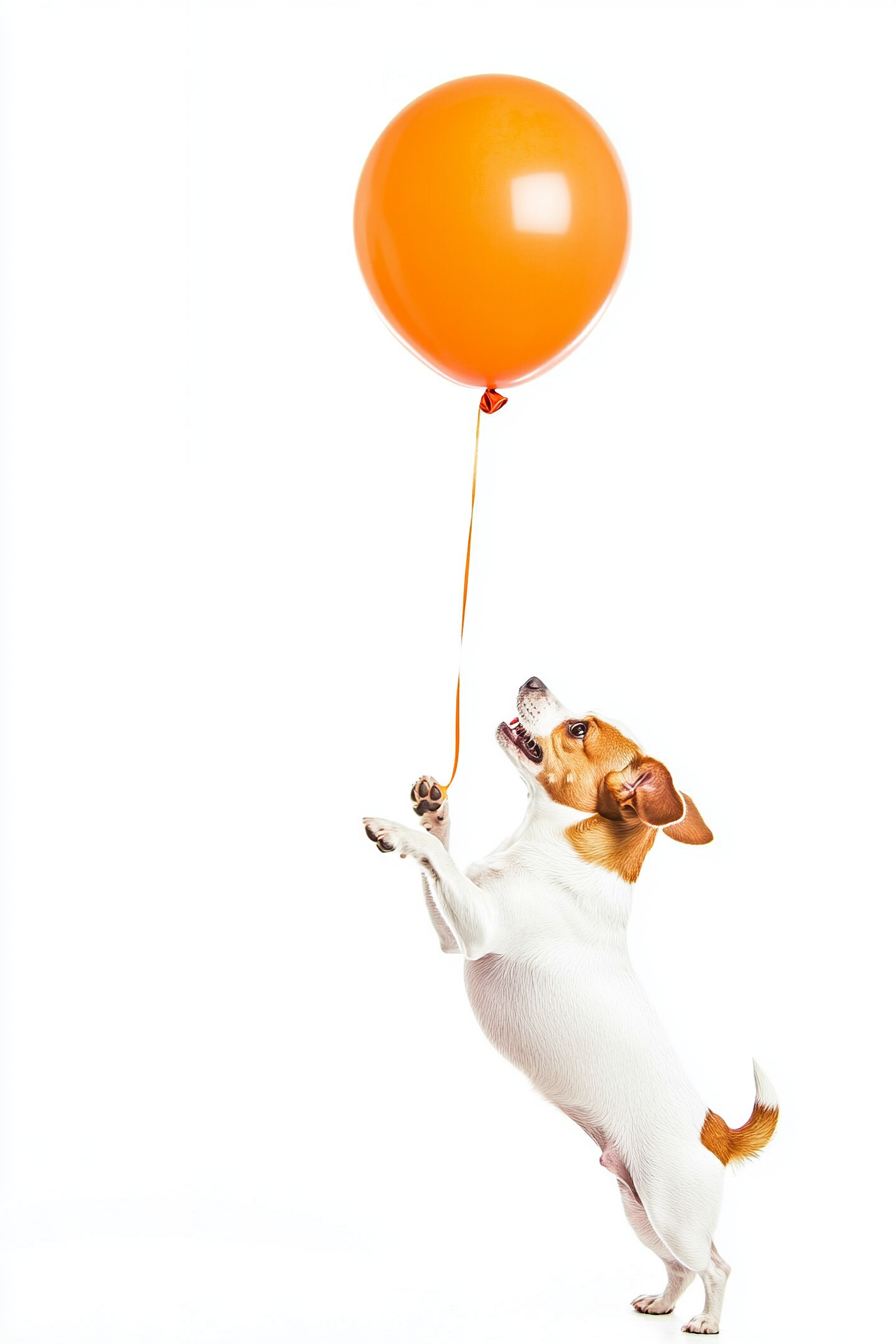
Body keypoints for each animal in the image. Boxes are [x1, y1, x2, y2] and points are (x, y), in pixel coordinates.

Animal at [365, 677, 779, 1327]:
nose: (533, 679)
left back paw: (707, 1321)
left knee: (716, 1266)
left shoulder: (477, 926)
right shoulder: (453, 936)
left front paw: (397, 831)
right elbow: (442, 855)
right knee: (681, 1268)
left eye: (579, 730)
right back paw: (662, 1303)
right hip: (640, 1209)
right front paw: (433, 812)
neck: (543, 846)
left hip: (672, 1209)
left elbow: (444, 865)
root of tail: (716, 1130)